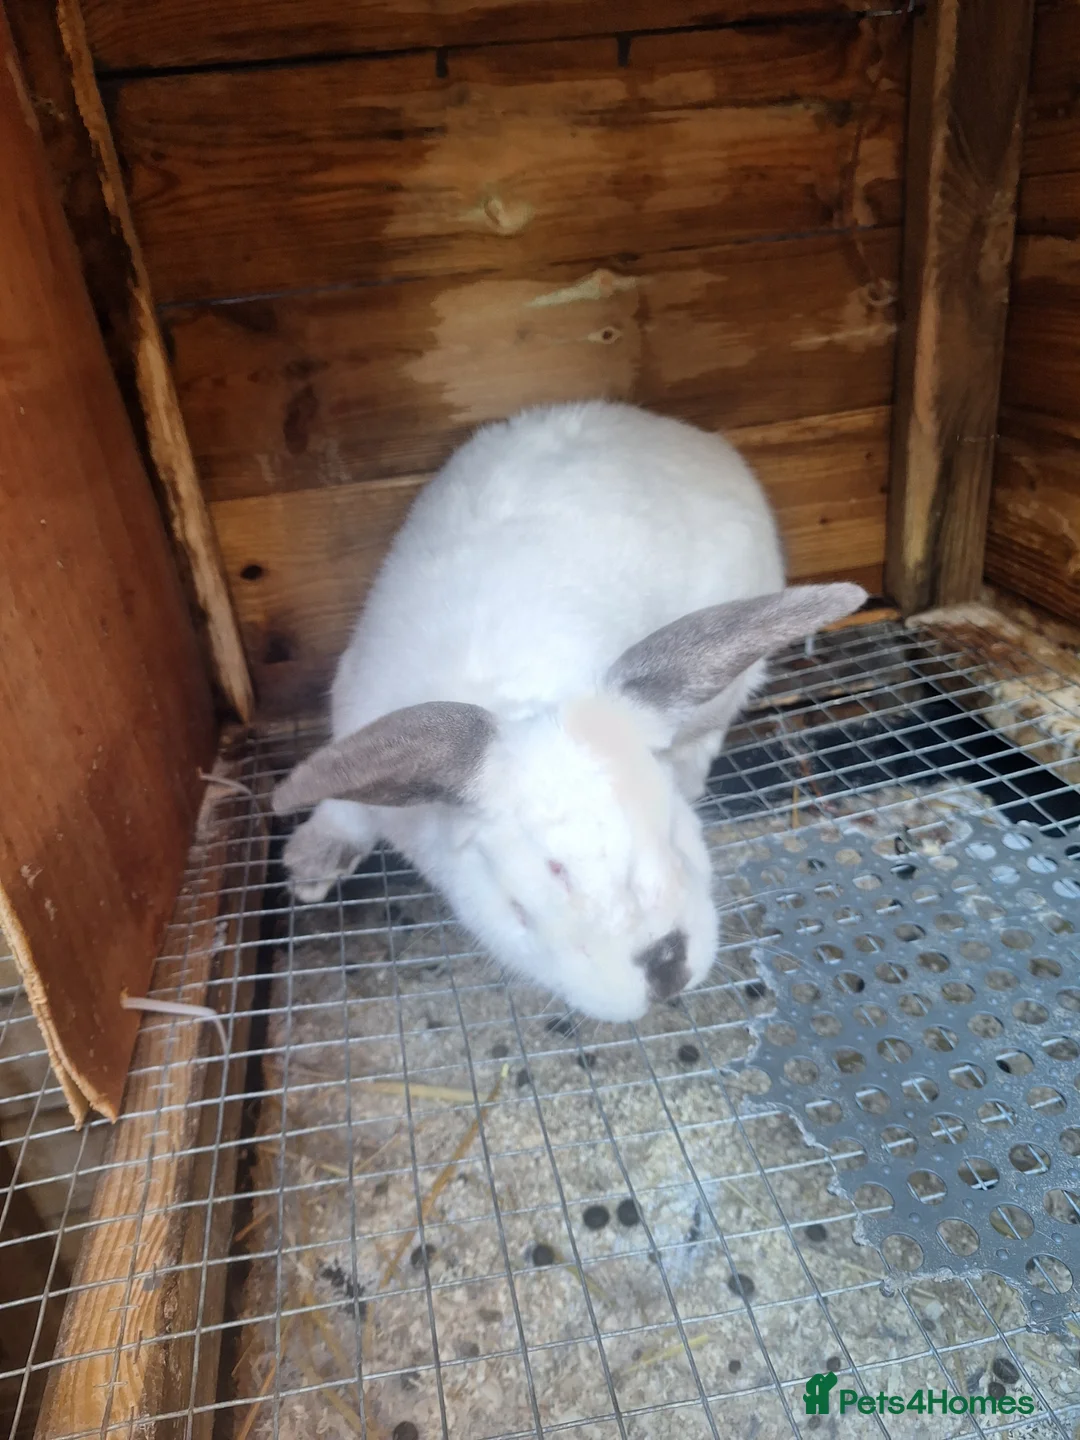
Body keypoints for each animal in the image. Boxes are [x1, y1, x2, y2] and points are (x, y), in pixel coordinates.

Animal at [272, 401, 866, 1022]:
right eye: (521, 906)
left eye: (676, 835)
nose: (666, 971)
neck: (517, 696)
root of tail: (685, 435)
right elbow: (346, 809)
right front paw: (310, 867)